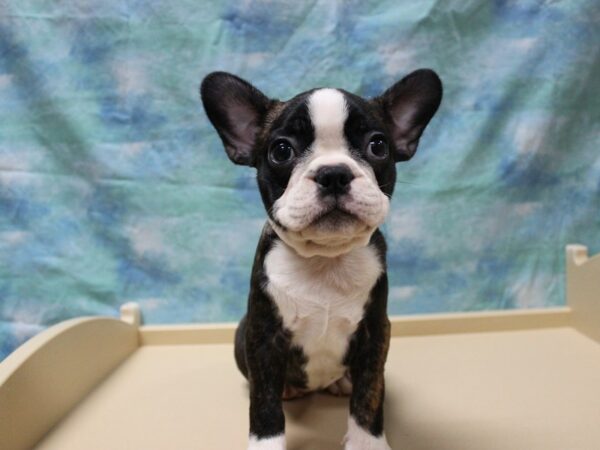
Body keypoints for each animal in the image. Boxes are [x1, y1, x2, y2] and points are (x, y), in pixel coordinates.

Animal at [200, 70, 440, 450]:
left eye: (378, 146)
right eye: (281, 150)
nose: (334, 173)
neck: (326, 259)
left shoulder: (375, 333)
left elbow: (370, 394)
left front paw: (367, 443)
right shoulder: (262, 336)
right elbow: (264, 404)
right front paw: (266, 443)